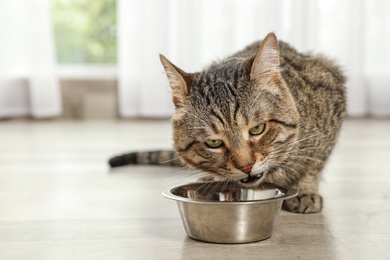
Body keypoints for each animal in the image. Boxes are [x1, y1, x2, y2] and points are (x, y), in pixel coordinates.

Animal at [109, 33, 344, 213]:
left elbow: (314, 164)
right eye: (214, 143)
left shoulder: (331, 83)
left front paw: (305, 190)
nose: (246, 167)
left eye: (257, 129)